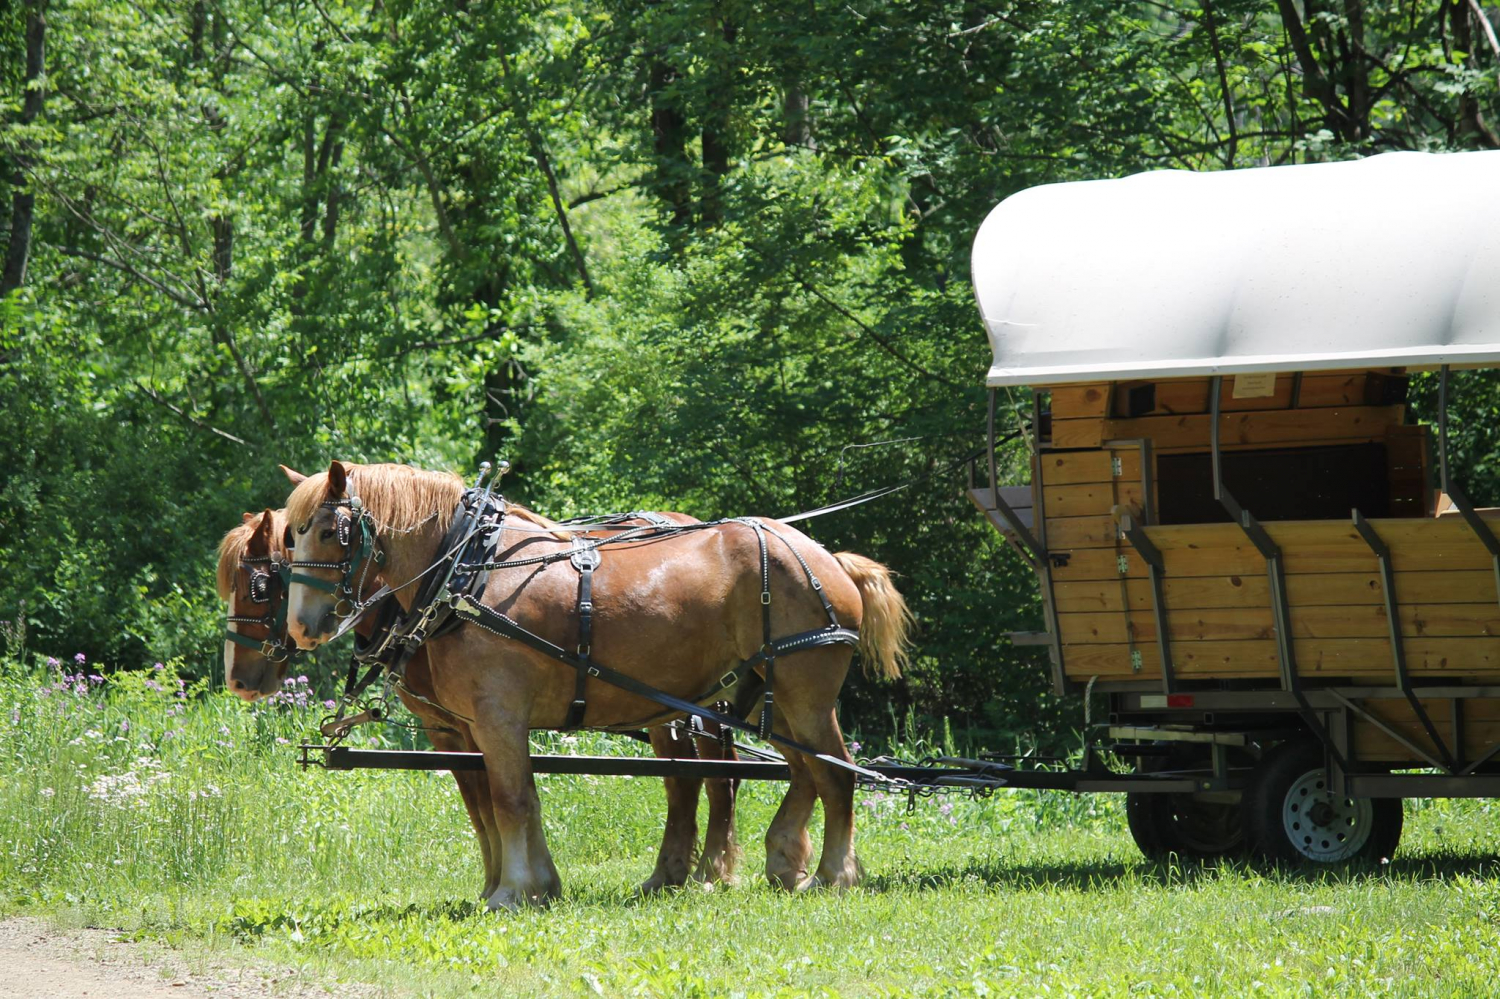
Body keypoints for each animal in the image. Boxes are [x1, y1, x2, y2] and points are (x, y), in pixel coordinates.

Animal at [216, 495, 744, 888]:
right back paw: (676, 873)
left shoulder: (474, 720)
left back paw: (709, 872)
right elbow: (480, 803)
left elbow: (495, 798)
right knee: (686, 779)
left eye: (259, 585)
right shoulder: (450, 725)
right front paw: (497, 882)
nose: (237, 680)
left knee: (717, 777)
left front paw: (510, 885)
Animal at [282, 462, 912, 906]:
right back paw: (779, 861)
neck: (468, 573)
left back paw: (830, 876)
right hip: (766, 695)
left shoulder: (497, 716)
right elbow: (505, 802)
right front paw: (536, 885)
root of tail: (822, 556)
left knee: (833, 773)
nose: (301, 627)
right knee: (797, 771)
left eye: (333, 531)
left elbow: (510, 800)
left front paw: (513, 890)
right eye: (290, 536)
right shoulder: (471, 727)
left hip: (804, 694)